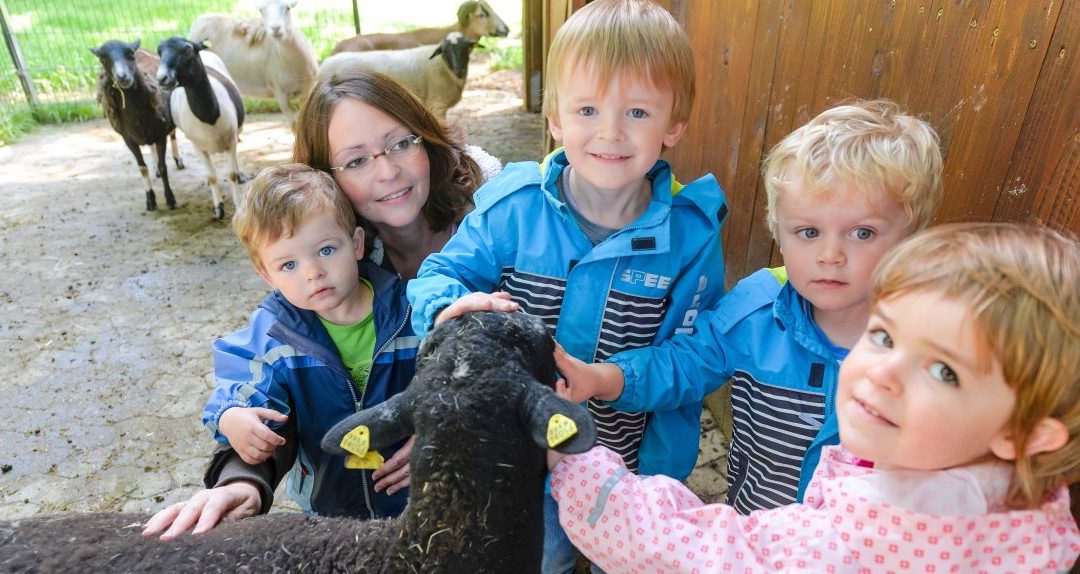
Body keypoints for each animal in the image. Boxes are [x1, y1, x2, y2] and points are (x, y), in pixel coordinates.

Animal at [90, 39, 183, 212]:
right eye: (103, 59)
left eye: (130, 54)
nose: (122, 77)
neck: (136, 115)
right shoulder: (129, 140)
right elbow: (142, 168)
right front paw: (150, 200)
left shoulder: (160, 135)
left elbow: (163, 167)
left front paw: (170, 199)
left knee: (173, 135)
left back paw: (178, 160)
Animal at [156, 35, 245, 220]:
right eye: (159, 52)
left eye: (187, 50)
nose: (162, 78)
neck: (209, 117)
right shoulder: (198, 146)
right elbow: (212, 177)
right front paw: (218, 209)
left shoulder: (231, 140)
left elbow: (231, 174)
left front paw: (238, 204)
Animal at [187, 0, 315, 125]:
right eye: (262, 11)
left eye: (287, 8)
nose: (275, 28)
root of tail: (201, 19)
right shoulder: (278, 91)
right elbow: (293, 124)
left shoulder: (307, 90)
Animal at [315, 32, 477, 120]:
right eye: (445, 51)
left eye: (466, 48)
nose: (459, 70)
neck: (442, 66)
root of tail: (324, 64)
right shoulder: (437, 105)